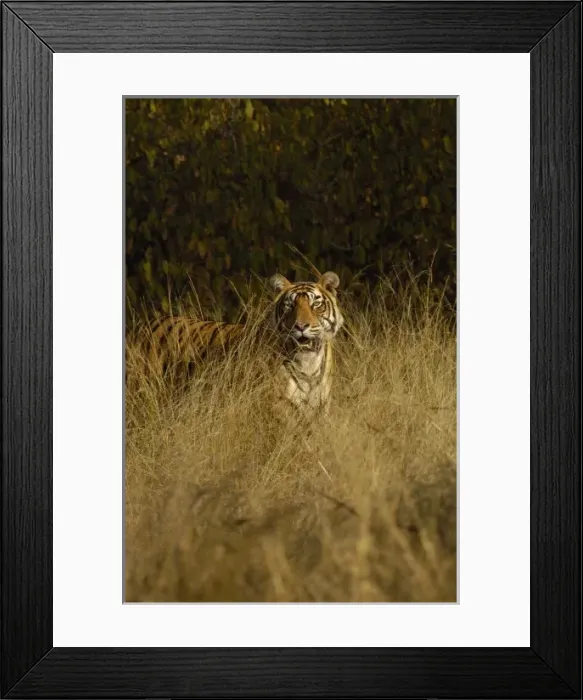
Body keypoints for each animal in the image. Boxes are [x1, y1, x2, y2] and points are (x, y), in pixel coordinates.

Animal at [132, 271, 344, 414]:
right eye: (289, 306)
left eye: (316, 305)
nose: (300, 326)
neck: (308, 364)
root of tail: (146, 324)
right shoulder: (276, 406)